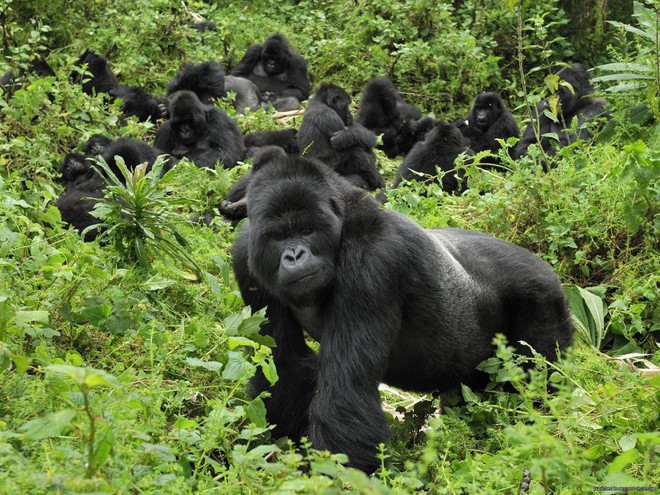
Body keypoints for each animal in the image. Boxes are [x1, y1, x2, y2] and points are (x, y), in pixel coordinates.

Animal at [235, 155, 576, 472]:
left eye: (307, 230)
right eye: (279, 236)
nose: (294, 255)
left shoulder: (372, 260)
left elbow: (346, 391)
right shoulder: (246, 257)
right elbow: (285, 366)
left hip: (543, 297)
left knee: (535, 373)